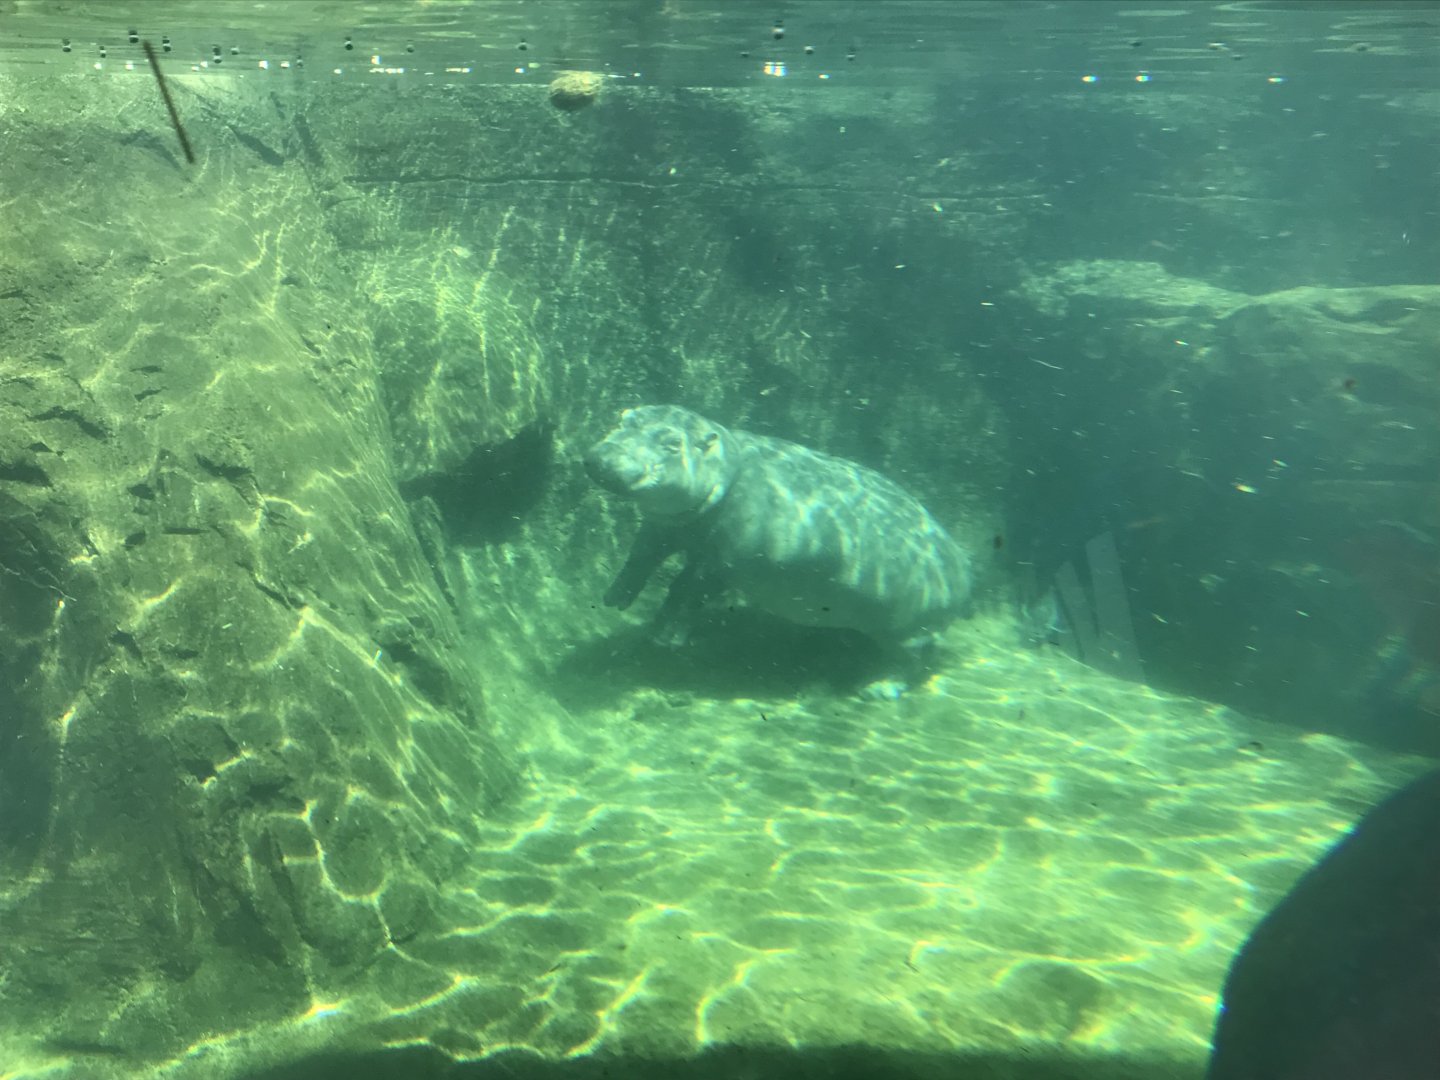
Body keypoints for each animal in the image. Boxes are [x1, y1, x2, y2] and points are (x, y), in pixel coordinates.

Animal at [584, 406, 973, 683]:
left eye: (671, 443)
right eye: (623, 417)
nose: (604, 459)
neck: (726, 466)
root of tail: (962, 566)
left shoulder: (723, 562)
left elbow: (685, 589)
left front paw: (663, 640)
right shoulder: (665, 525)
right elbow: (640, 557)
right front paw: (614, 599)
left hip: (907, 632)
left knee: (914, 661)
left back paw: (878, 689)